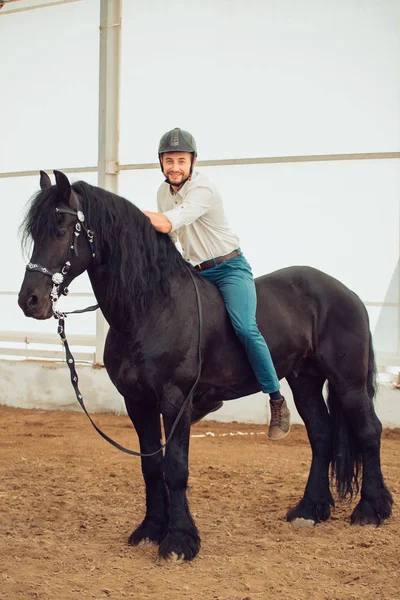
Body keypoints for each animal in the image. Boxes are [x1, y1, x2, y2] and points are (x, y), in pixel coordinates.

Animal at [18, 170, 390, 564]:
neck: (153, 307)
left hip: (348, 383)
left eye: (61, 229)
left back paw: (370, 511)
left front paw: (179, 541)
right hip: (304, 381)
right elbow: (151, 466)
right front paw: (151, 529)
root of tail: (345, 293)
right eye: (34, 232)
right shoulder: (138, 402)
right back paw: (309, 510)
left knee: (369, 431)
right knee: (321, 434)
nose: (30, 300)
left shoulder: (175, 400)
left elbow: (175, 468)